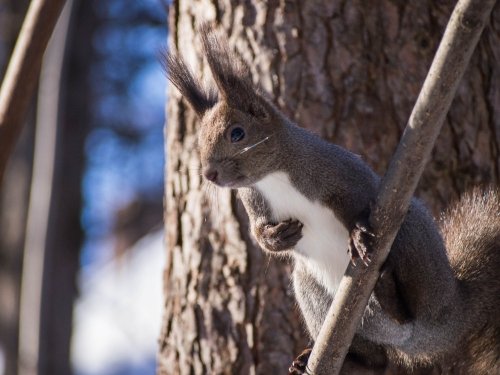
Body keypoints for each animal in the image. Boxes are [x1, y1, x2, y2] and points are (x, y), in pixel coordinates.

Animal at [164, 25, 500, 374]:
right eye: (199, 139)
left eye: (237, 133)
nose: (209, 174)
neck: (272, 177)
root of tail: (452, 317)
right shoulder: (253, 201)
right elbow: (258, 232)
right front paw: (275, 238)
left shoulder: (341, 172)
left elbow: (358, 201)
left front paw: (357, 235)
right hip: (311, 285)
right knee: (379, 359)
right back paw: (339, 359)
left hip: (415, 243)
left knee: (415, 307)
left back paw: (394, 299)